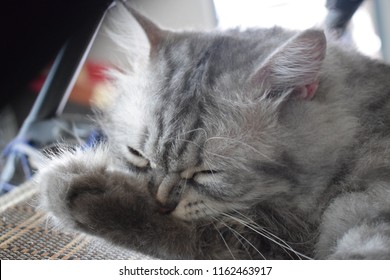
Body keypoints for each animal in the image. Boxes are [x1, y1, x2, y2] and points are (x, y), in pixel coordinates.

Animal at [35, 2, 390, 260]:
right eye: (137, 156)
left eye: (208, 172)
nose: (162, 203)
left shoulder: (282, 241)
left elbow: (191, 234)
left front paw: (79, 187)